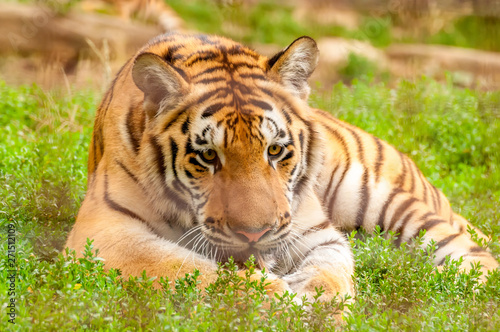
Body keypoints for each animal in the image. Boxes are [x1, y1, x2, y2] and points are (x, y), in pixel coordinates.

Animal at [65, 32, 496, 310]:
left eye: (275, 151)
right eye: (208, 157)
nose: (254, 234)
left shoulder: (316, 232)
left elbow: (331, 275)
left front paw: (320, 306)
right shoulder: (103, 231)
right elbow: (192, 271)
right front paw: (279, 301)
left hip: (386, 198)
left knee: (476, 256)